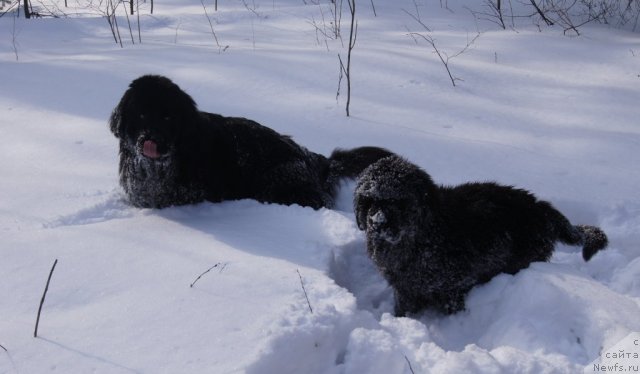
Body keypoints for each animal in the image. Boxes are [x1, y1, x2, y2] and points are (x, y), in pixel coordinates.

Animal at [356, 155, 608, 316]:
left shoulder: (454, 287)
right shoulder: (405, 289)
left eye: (397, 200)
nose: (377, 222)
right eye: (370, 200)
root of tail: (540, 207)